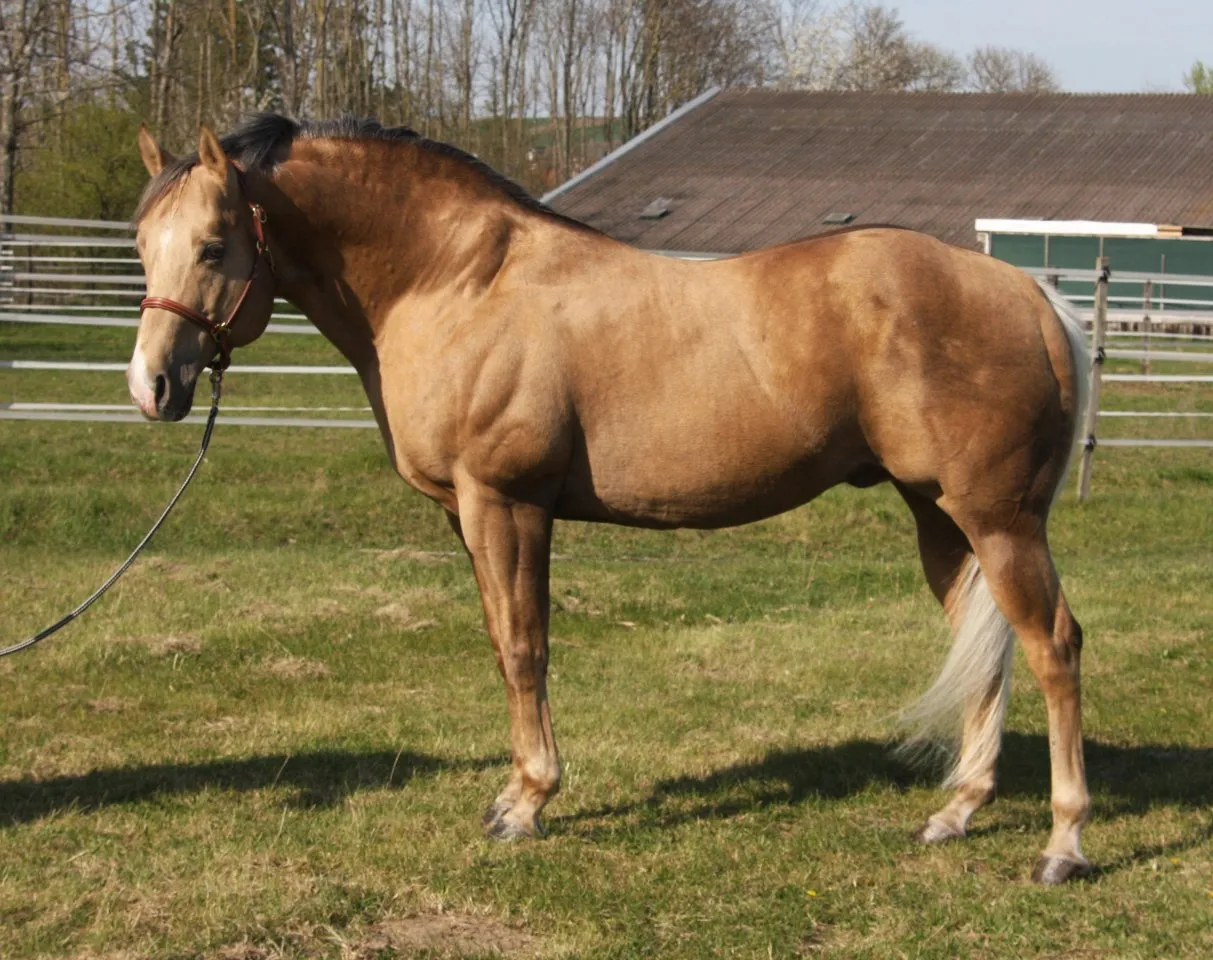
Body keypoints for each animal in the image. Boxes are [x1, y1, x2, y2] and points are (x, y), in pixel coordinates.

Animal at [129, 116, 1092, 884]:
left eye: (212, 246)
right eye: (142, 246)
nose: (152, 387)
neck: (456, 282)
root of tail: (1029, 293)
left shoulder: (505, 503)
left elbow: (524, 649)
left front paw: (526, 804)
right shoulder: (466, 515)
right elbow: (502, 643)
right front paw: (516, 793)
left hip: (1000, 521)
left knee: (1051, 646)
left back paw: (1061, 845)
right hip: (942, 518)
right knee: (985, 649)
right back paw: (956, 811)